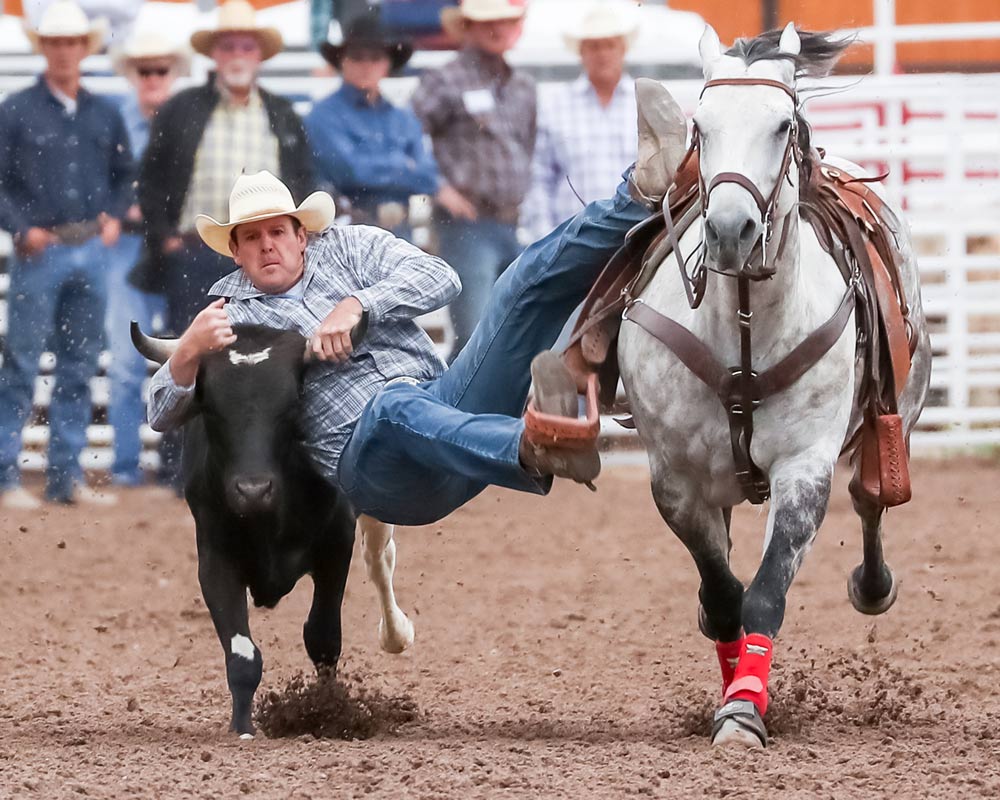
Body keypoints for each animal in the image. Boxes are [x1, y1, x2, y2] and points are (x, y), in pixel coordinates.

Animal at [620, 26, 932, 752]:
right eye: (700, 126)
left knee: (871, 498)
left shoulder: (804, 469)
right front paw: (735, 687)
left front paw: (742, 712)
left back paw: (873, 584)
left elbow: (765, 591)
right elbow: (724, 594)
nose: (730, 230)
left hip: (897, 413)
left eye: (782, 125)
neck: (742, 328)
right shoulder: (675, 479)